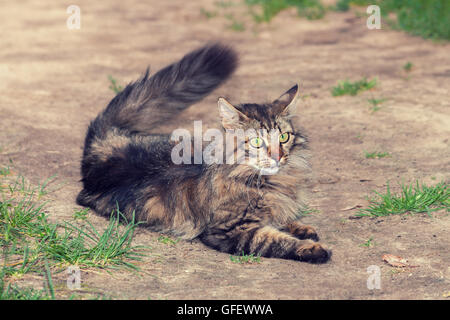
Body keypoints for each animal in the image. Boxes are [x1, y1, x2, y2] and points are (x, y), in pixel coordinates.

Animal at [76, 42, 330, 262]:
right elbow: (275, 240)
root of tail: (103, 142)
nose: (278, 156)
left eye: (284, 137)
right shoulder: (230, 231)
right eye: (257, 141)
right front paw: (313, 249)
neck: (268, 182)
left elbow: (280, 220)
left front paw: (302, 228)